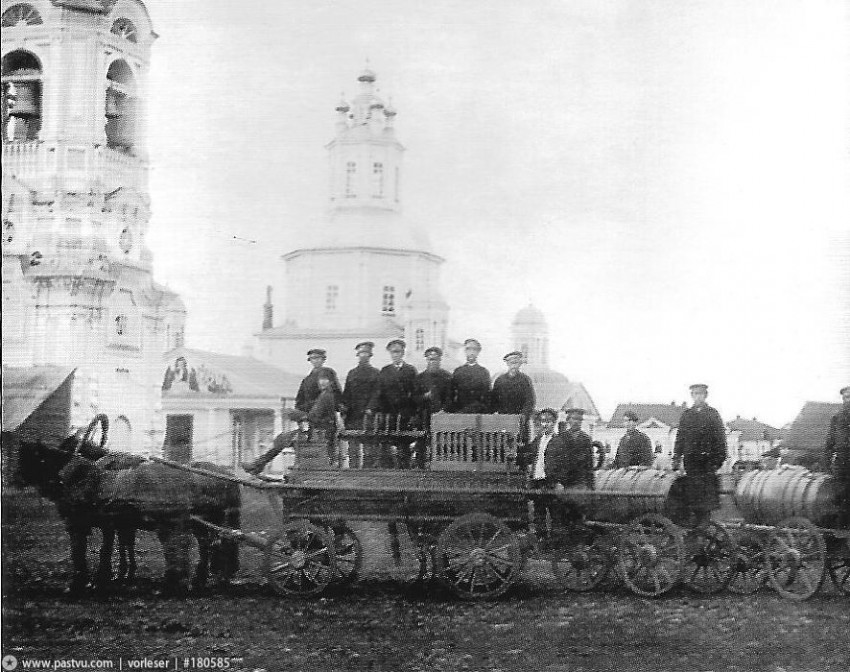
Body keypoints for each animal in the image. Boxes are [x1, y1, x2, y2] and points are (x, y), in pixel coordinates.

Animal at [17, 414, 242, 592]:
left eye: (30, 459)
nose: (17, 479)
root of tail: (227, 478)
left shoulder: (108, 523)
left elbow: (109, 547)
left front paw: (110, 575)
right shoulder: (122, 523)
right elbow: (125, 543)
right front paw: (125, 572)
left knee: (206, 544)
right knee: (212, 544)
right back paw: (207, 576)